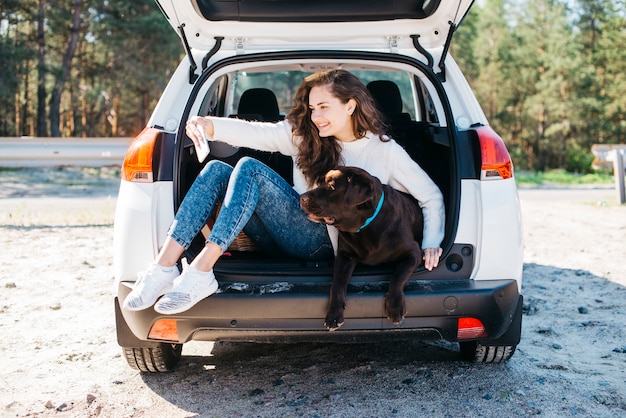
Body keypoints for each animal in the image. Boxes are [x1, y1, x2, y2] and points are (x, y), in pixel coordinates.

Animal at [298, 166, 424, 330]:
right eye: (322, 183)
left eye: (332, 187)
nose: (302, 197)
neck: (367, 225)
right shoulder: (345, 256)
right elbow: (337, 284)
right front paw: (333, 314)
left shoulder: (414, 252)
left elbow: (398, 275)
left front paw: (395, 305)